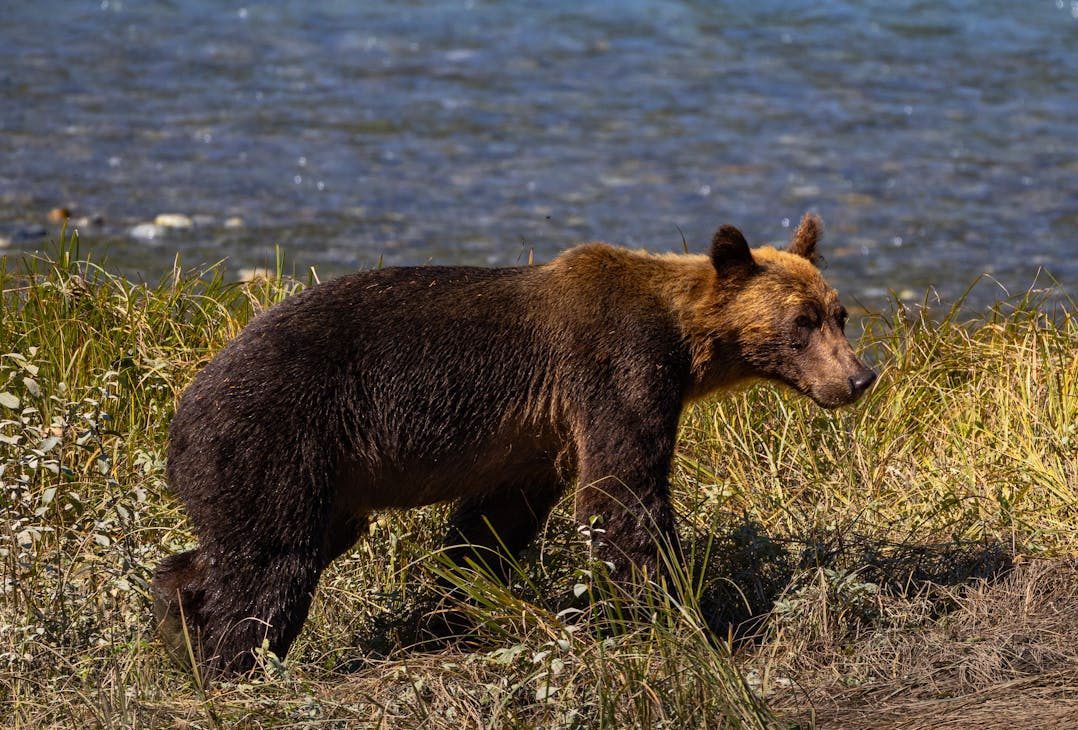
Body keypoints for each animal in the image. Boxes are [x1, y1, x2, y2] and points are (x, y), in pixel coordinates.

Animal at [152, 212, 876, 676]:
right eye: (802, 321)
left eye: (840, 314)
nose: (859, 378)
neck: (684, 340)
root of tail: (182, 411)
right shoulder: (617, 367)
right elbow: (622, 495)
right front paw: (680, 616)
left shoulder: (535, 438)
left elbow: (493, 523)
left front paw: (459, 603)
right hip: (277, 436)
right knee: (273, 560)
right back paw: (231, 660)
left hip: (326, 479)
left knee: (254, 546)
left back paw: (178, 619)